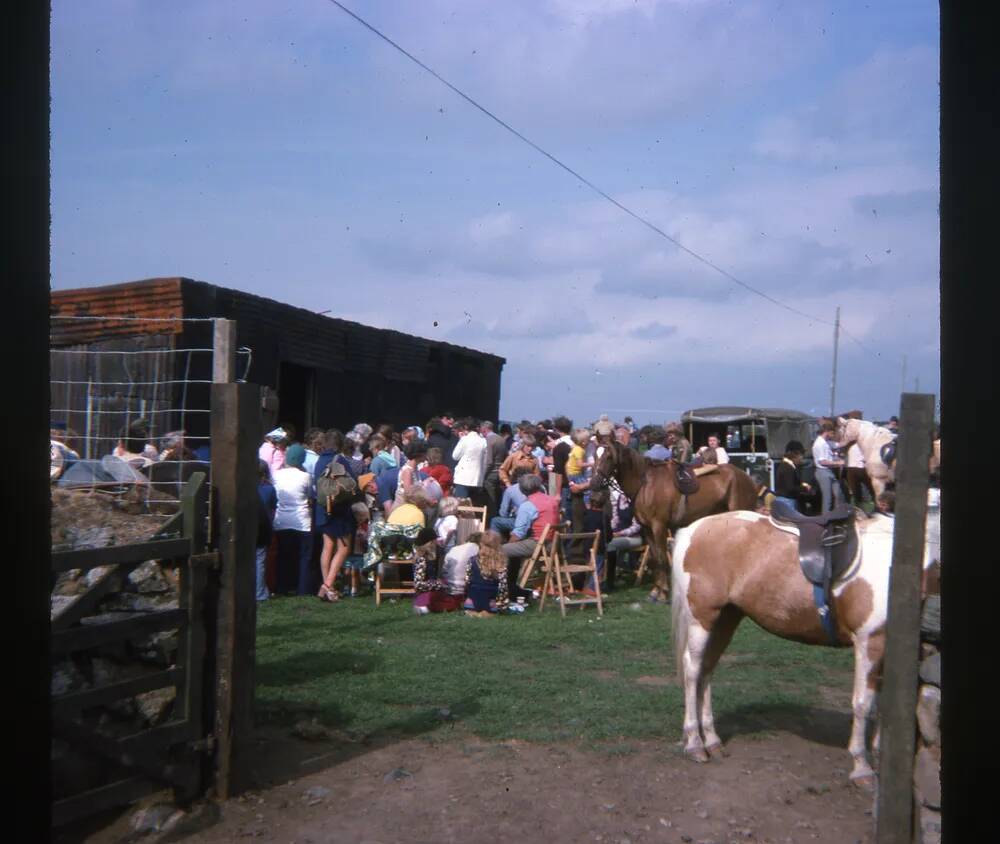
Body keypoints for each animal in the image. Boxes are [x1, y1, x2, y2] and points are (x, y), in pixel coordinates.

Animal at [592, 442, 756, 600]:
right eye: (595, 456)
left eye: (608, 457)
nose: (594, 484)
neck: (645, 484)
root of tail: (747, 477)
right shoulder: (647, 528)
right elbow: (655, 559)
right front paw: (655, 591)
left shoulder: (659, 526)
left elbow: (662, 558)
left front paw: (663, 592)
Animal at [672, 508, 936, 792]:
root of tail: (692, 529)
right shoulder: (869, 642)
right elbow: (863, 704)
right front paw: (862, 768)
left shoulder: (887, 649)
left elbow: (882, 703)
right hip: (702, 618)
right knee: (693, 671)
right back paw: (695, 744)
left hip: (726, 618)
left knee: (707, 670)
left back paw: (711, 740)